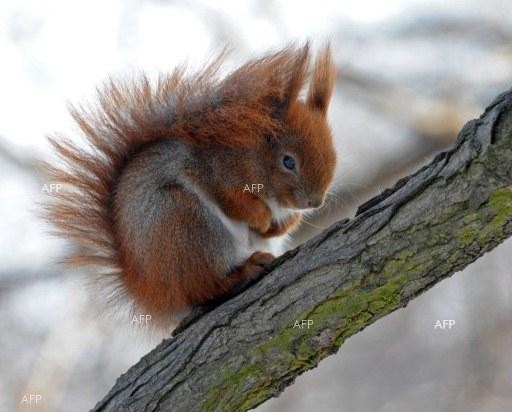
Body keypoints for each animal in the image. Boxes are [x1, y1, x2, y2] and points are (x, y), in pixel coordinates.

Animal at [44, 44, 338, 328]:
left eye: (333, 152)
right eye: (288, 161)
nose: (316, 202)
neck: (252, 155)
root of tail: (152, 289)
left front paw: (279, 225)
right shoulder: (216, 173)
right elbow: (234, 203)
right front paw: (262, 217)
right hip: (187, 225)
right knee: (205, 289)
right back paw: (244, 272)